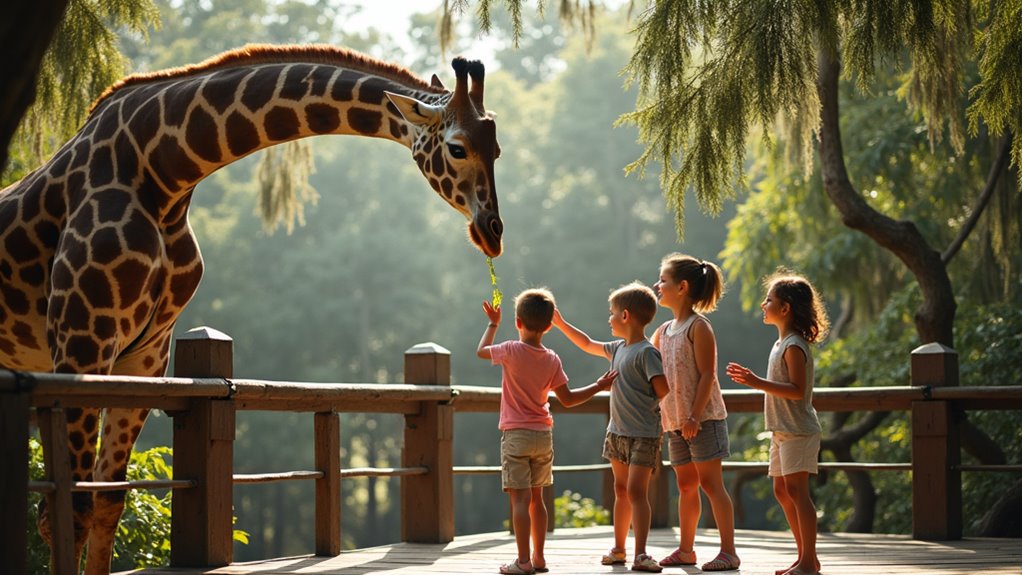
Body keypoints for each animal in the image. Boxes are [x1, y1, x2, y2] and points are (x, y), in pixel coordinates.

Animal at [0, 44, 502, 573]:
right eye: (457, 148)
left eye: (497, 149)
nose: (493, 230)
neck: (164, 171)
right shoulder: (80, 343)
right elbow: (67, 509)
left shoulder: (144, 357)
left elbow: (108, 500)